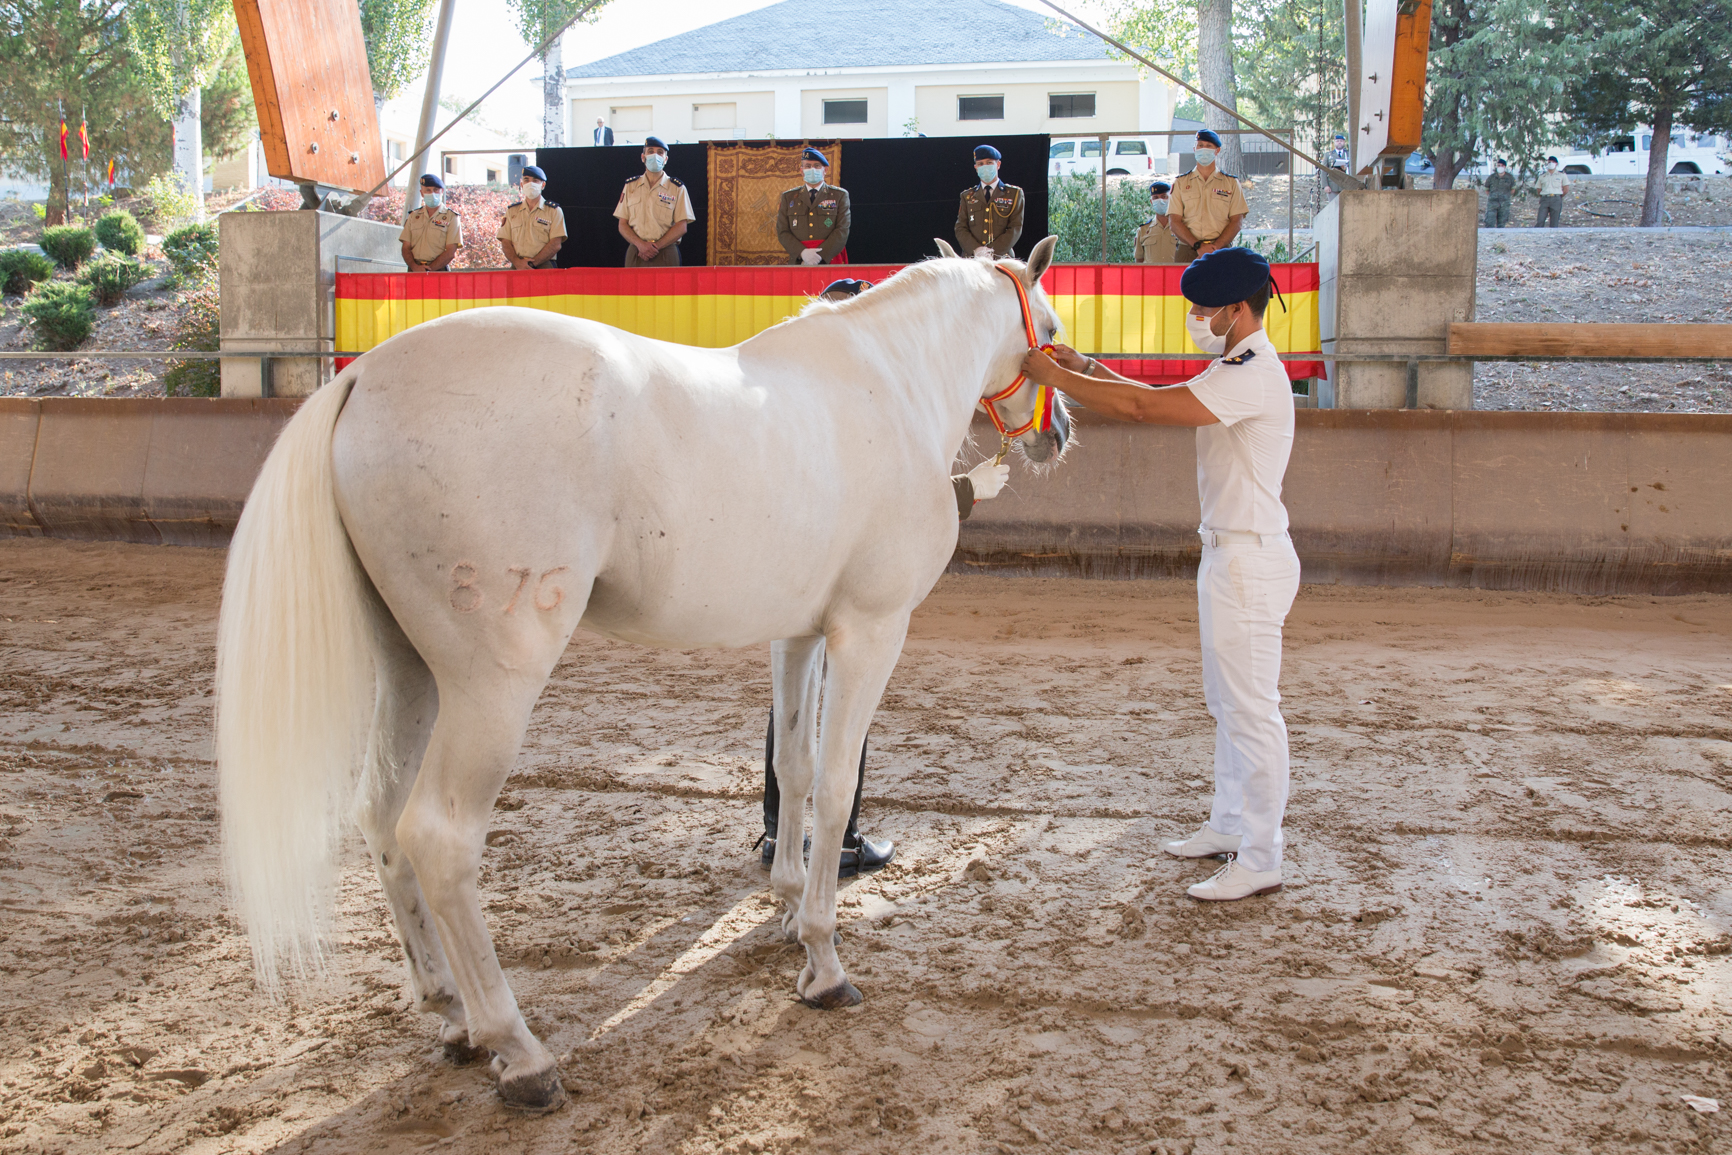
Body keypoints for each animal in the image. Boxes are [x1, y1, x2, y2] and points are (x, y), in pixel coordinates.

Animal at [215, 236, 1067, 1113]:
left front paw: (788, 903)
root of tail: (361, 378)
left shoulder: (798, 635)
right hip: (492, 690)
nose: (1060, 433)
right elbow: (833, 788)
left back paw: (449, 1011)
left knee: (381, 818)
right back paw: (519, 1051)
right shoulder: (871, 630)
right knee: (439, 838)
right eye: (1054, 331)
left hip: (411, 671)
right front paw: (824, 961)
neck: (888, 382)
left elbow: (792, 767)